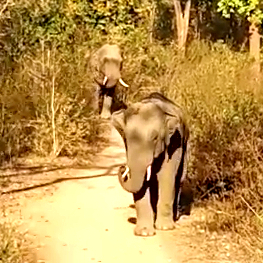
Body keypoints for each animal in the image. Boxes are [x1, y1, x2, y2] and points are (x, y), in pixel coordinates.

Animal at [111, 93, 190, 237]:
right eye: (126, 138)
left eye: (155, 138)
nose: (122, 168)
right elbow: (143, 183)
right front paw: (144, 233)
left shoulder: (175, 141)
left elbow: (166, 176)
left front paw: (165, 228)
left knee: (179, 179)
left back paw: (174, 217)